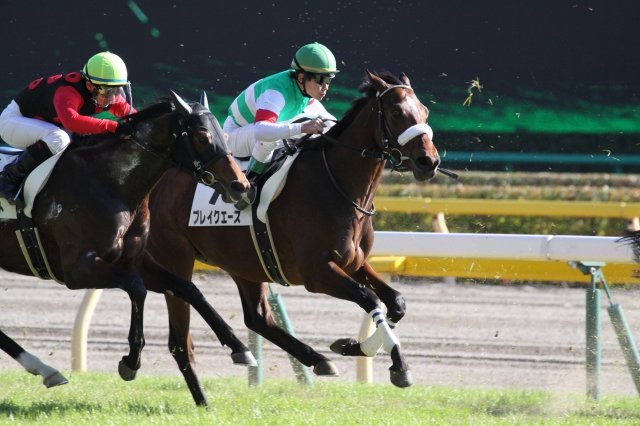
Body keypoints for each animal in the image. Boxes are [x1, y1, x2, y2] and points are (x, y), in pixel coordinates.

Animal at [0, 91, 255, 390]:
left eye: (224, 135)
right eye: (202, 137)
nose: (241, 186)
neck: (112, 182)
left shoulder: (135, 259)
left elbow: (189, 289)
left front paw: (239, 347)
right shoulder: (77, 270)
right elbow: (136, 287)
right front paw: (131, 362)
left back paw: (45, 370)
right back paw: (45, 368)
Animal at [147, 71, 440, 406]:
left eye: (425, 111)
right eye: (396, 112)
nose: (429, 162)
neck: (336, 185)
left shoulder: (353, 263)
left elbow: (396, 302)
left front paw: (354, 346)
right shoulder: (317, 272)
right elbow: (370, 298)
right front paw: (398, 365)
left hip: (244, 263)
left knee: (257, 318)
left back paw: (314, 359)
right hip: (176, 256)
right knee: (181, 334)